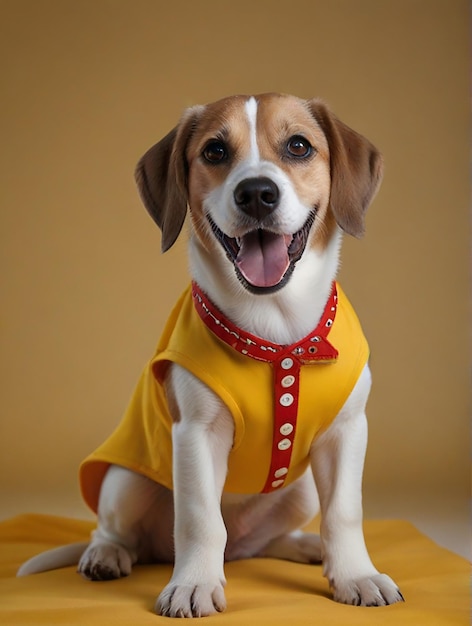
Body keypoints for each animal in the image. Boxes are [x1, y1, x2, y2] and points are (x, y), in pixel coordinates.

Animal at [17, 92, 402, 616]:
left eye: (299, 146)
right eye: (215, 151)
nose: (256, 193)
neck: (277, 332)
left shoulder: (345, 432)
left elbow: (343, 513)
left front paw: (355, 576)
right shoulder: (196, 434)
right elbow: (200, 519)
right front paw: (194, 584)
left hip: (300, 488)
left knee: (257, 544)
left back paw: (303, 546)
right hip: (125, 481)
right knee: (118, 532)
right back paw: (106, 556)